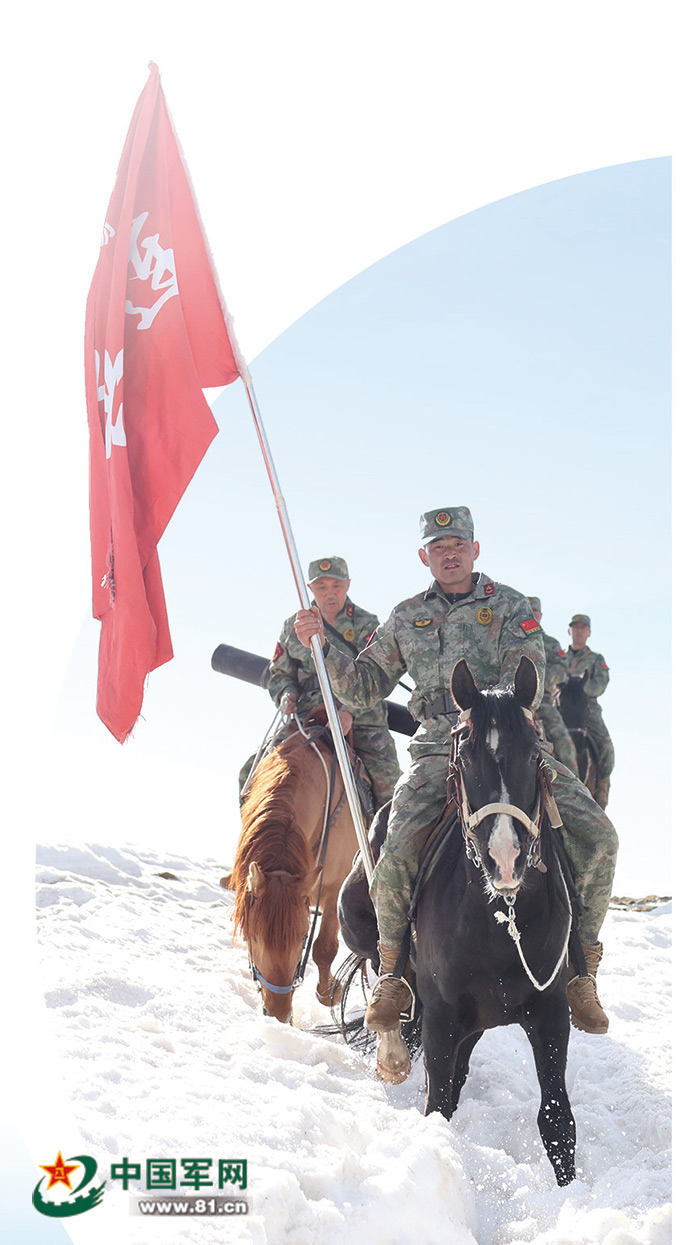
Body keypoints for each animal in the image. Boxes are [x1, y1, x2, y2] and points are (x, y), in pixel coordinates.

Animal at [227, 722, 360, 1023]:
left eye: (301, 938)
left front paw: (332, 991)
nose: (278, 1015)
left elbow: (324, 947)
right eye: (254, 937)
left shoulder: (335, 887)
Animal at [336, 656, 577, 1187]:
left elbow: (556, 1119)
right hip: (361, 928)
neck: (501, 921)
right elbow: (438, 1104)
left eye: (535, 753)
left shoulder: (550, 1013)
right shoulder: (444, 1017)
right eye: (464, 757)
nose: (505, 859)